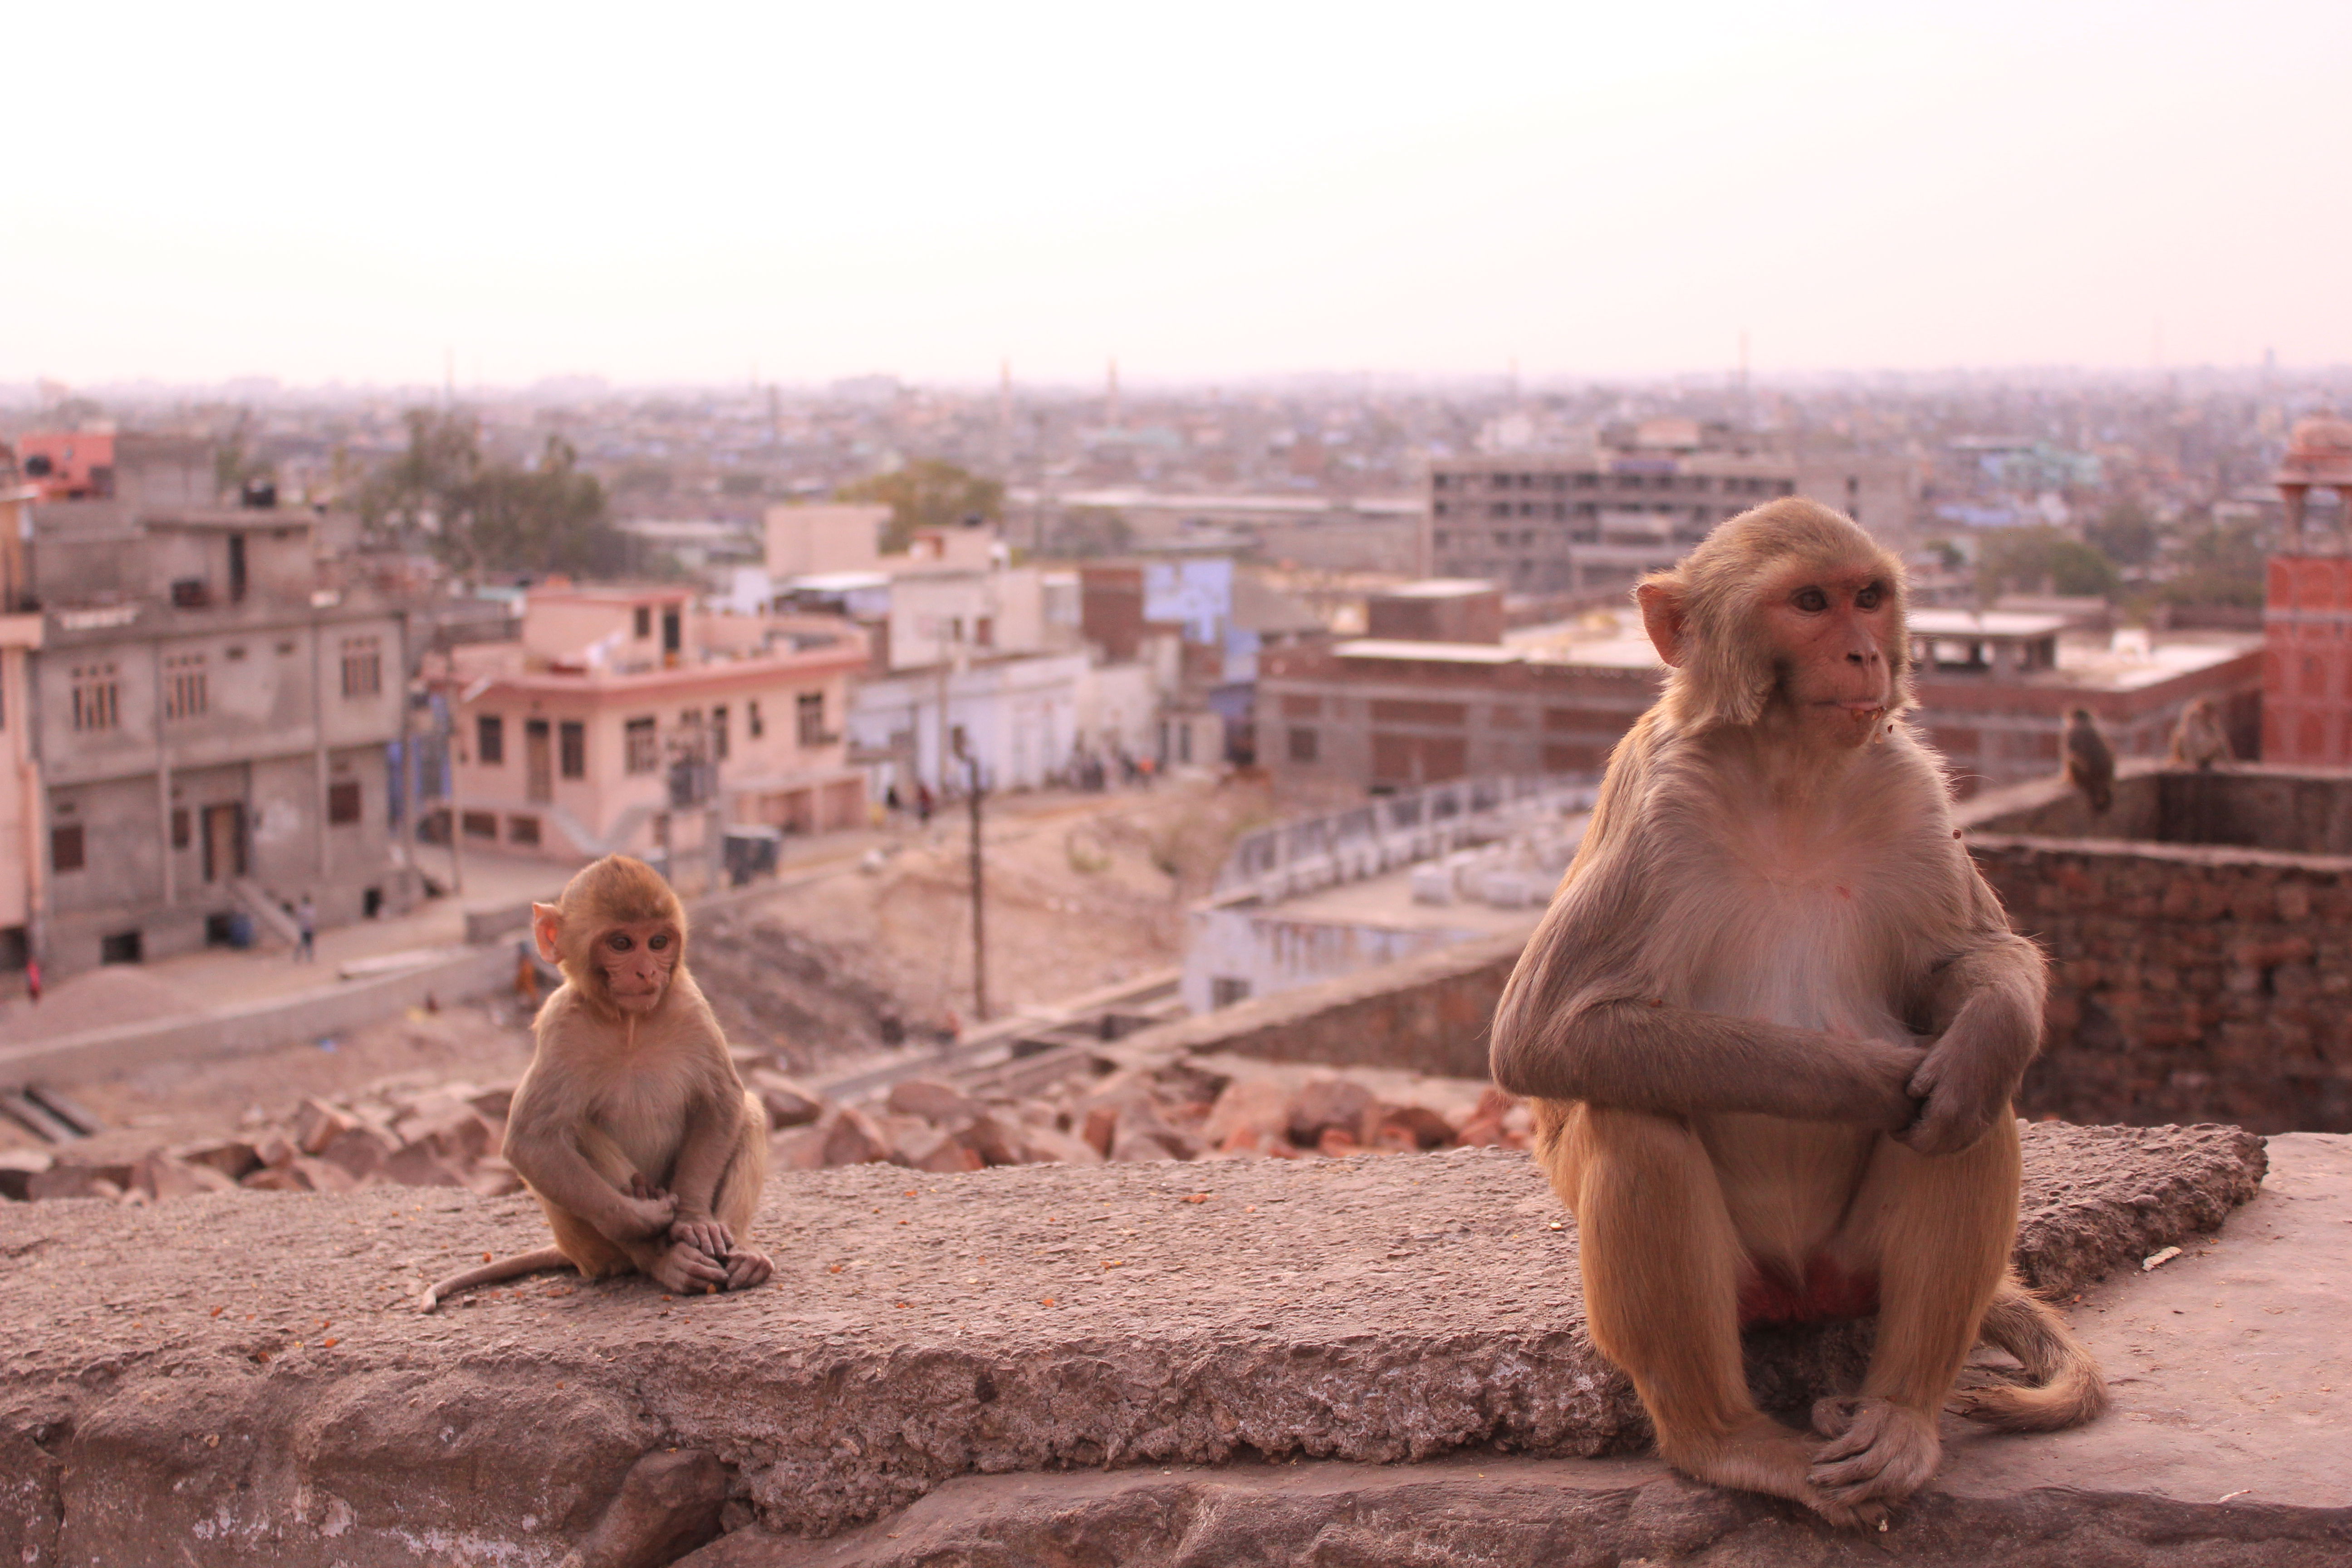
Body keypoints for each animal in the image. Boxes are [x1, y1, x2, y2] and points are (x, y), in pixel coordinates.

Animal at [428, 860, 776, 1316]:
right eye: (622, 943)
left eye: (658, 941)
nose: (647, 971)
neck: (630, 1025)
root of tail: (568, 1252)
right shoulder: (561, 1025)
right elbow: (530, 1141)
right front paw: (641, 1218)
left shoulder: (691, 1007)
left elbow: (723, 1103)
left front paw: (693, 1218)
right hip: (586, 1244)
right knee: (571, 1129)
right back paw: (665, 1257)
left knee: (748, 1114)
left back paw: (741, 1253)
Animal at [1496, 505, 2107, 1533]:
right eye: (1810, 603)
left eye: (1868, 596)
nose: (1864, 654)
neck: (1789, 774)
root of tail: (1795, 1291)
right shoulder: (1655, 801)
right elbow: (1546, 1036)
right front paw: (1869, 1077)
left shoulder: (1910, 791)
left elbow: (1969, 967)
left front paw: (1976, 1036)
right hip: (1737, 1286)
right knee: (1634, 1121)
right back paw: (1725, 1442)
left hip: (1852, 1268)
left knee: (1974, 1118)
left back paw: (1899, 1416)